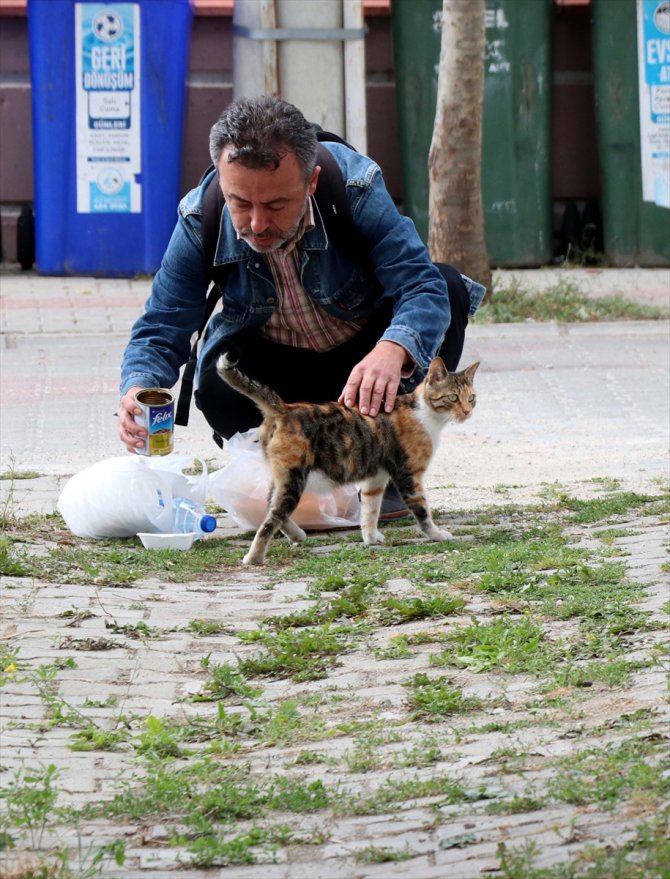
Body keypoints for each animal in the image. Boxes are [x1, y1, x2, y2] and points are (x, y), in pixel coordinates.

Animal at [218, 354, 480, 568]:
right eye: (453, 397)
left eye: (472, 398)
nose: (468, 412)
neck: (425, 414)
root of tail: (283, 409)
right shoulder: (409, 475)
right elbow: (422, 510)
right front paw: (436, 534)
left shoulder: (375, 480)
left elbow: (370, 511)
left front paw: (371, 538)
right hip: (294, 478)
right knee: (271, 518)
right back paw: (254, 557)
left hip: (282, 476)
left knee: (270, 506)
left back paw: (297, 535)